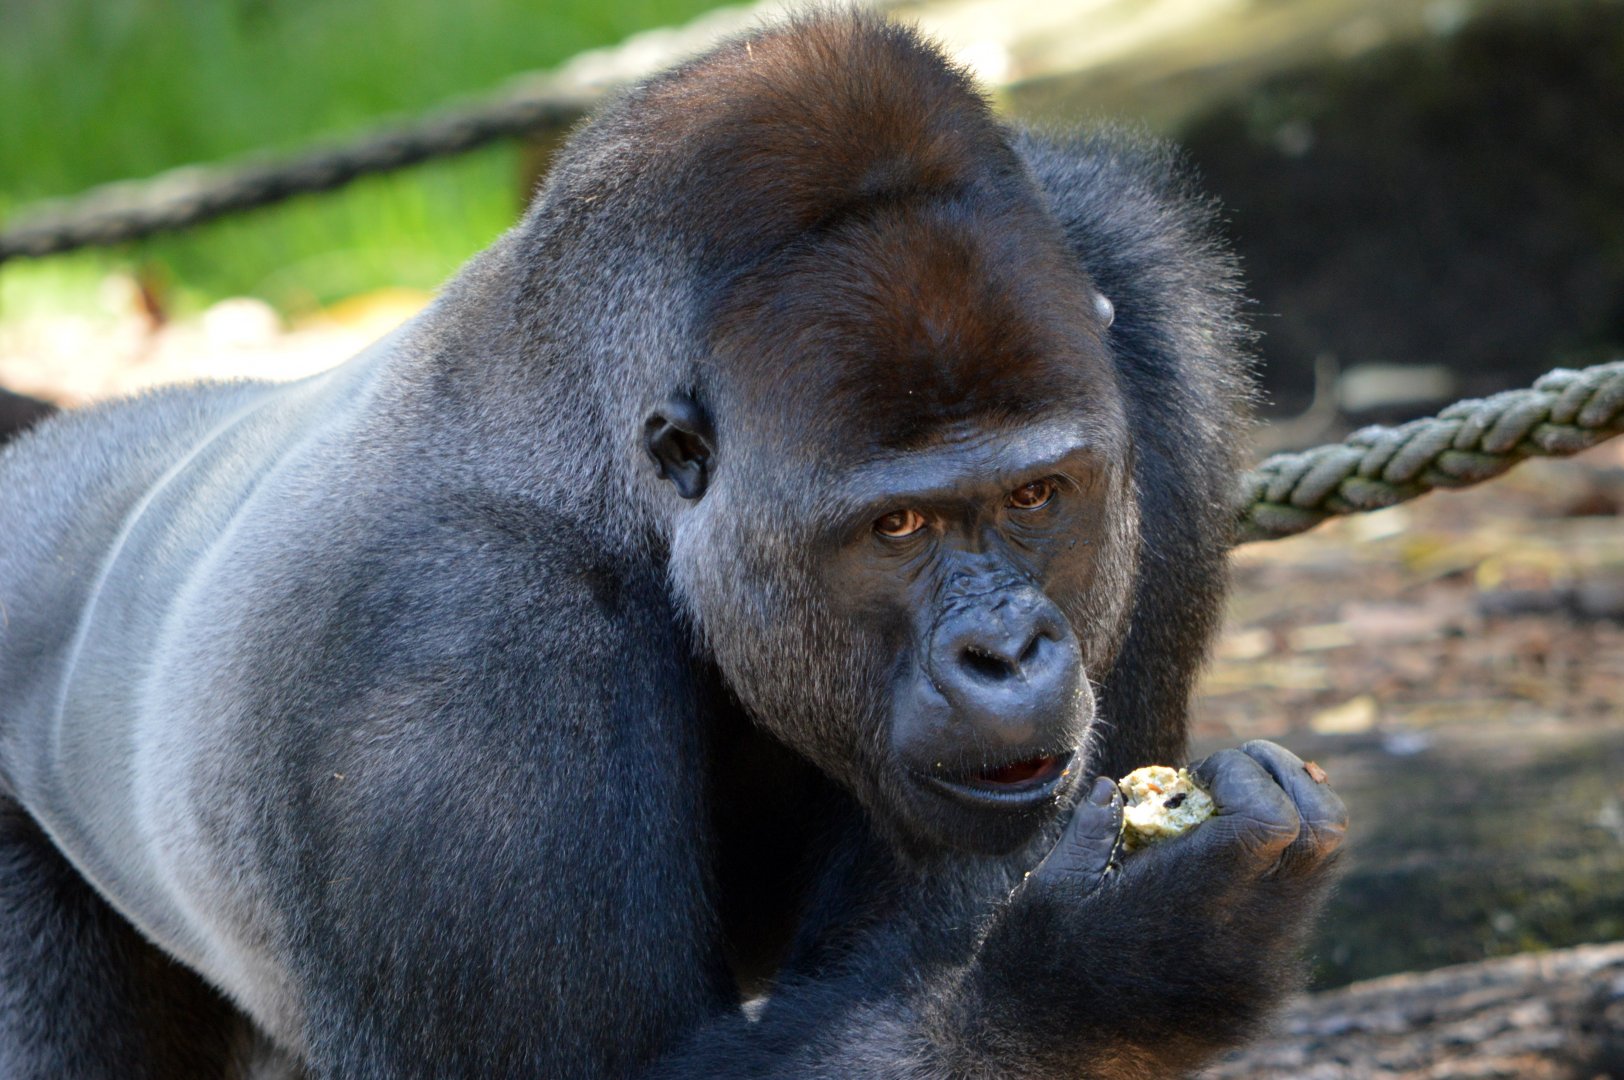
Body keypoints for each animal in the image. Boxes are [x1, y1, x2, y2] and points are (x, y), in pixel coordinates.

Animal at [0, 13, 1344, 1078]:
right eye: (896, 526)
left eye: (1035, 496)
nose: (1007, 653)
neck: (602, 452)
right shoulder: (445, 663)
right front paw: (1116, 968)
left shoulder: (1143, 305)